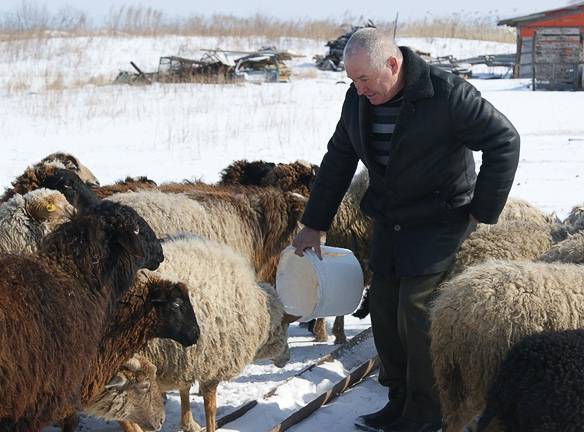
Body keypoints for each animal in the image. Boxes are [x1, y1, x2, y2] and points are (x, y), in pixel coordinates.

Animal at [133, 236, 292, 432]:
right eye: (284, 326)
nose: (288, 358)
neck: (256, 314)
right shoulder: (212, 361)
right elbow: (211, 407)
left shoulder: (188, 359)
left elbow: (185, 389)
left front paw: (188, 423)